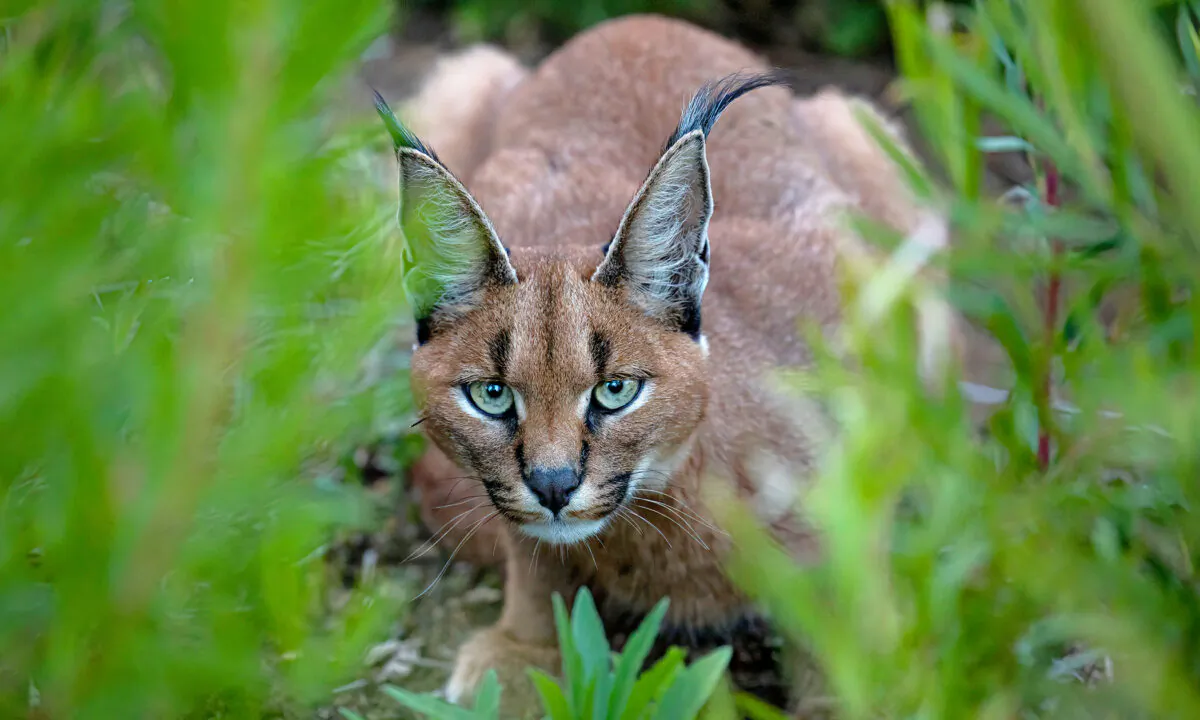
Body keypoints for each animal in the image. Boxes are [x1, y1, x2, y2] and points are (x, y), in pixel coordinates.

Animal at [374, 12, 955, 720]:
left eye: (616, 390)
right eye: (491, 395)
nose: (553, 485)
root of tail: (639, 20)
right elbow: (524, 544)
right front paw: (525, 646)